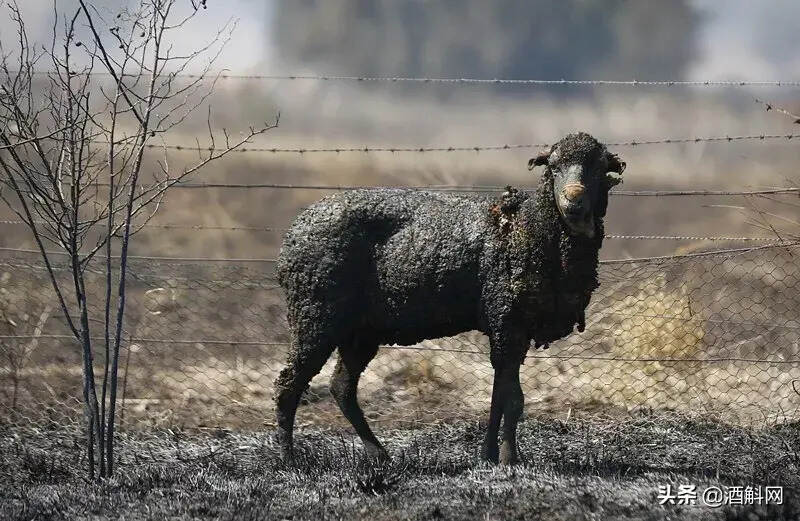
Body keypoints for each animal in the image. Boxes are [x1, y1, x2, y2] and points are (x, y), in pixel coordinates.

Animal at [276, 132, 624, 466]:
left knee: (341, 388)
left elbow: (499, 397)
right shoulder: (506, 321)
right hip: (314, 315)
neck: (530, 228)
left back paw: (378, 454)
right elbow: (513, 400)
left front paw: (489, 454)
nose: (573, 199)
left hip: (360, 331)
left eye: (598, 168)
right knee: (288, 385)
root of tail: (291, 234)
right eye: (553, 166)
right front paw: (510, 459)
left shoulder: (512, 329)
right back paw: (289, 459)